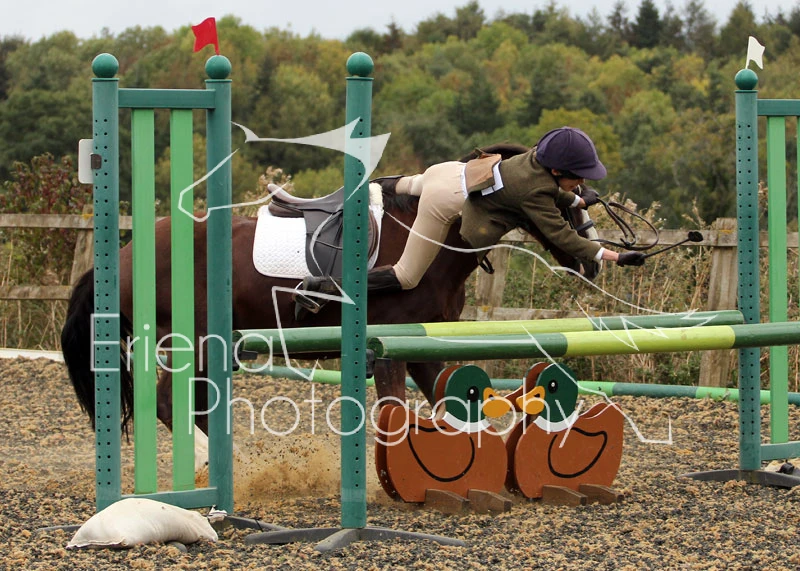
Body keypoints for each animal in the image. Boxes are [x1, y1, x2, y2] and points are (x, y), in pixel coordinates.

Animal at [61, 143, 596, 439]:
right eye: (564, 198)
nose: (591, 259)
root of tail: (121, 258)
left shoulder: (423, 348)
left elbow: (449, 406)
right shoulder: (392, 348)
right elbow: (396, 409)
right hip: (190, 341)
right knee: (171, 404)